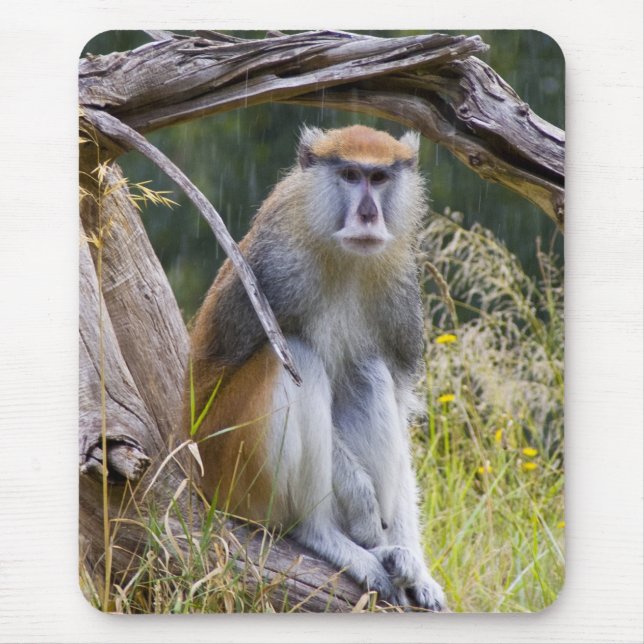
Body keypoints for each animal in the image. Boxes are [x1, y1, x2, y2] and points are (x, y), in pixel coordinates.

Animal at [185, 124, 445, 611]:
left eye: (379, 177)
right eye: (349, 175)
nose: (368, 214)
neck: (343, 255)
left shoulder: (400, 293)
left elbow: (399, 403)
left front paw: (417, 568)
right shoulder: (275, 271)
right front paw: (363, 509)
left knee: (369, 370)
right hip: (227, 469)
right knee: (296, 354)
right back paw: (324, 536)